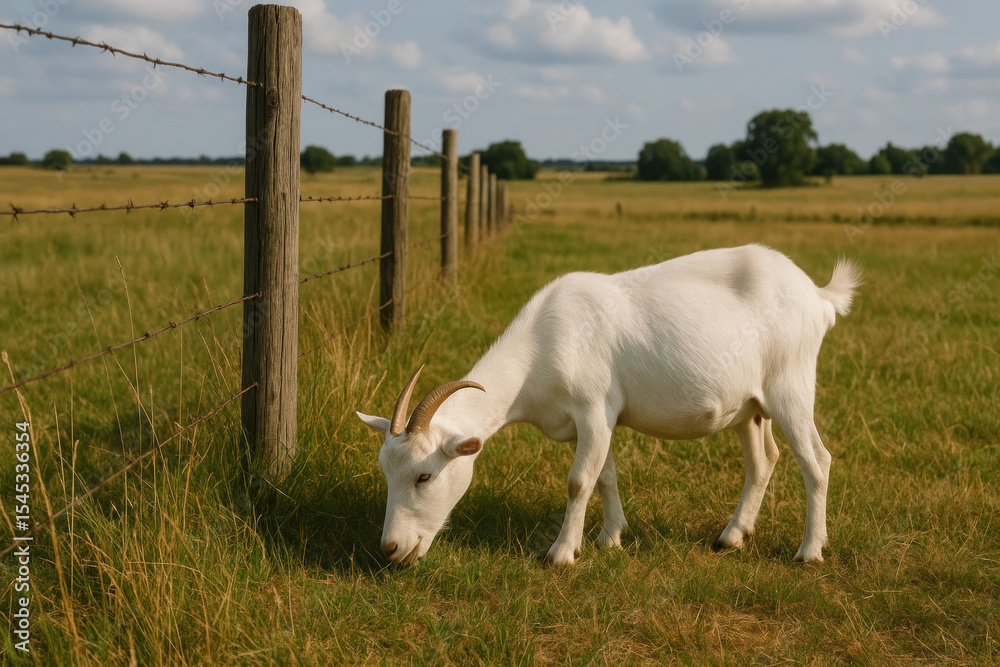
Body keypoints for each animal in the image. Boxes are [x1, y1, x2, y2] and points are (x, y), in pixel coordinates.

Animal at [358, 244, 860, 566]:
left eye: (424, 476)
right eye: (385, 472)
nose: (391, 550)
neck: (543, 343)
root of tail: (819, 296)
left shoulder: (594, 408)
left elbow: (579, 481)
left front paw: (561, 555)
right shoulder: (591, 423)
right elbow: (605, 477)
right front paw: (609, 538)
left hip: (791, 387)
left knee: (816, 460)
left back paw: (809, 552)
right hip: (749, 406)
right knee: (763, 460)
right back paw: (731, 538)